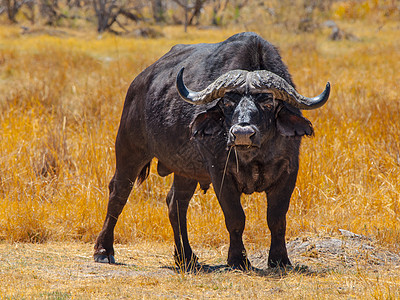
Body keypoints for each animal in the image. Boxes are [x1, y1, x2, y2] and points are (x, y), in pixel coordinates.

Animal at [94, 32, 332, 270]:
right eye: (227, 102)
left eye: (267, 101)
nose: (242, 133)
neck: (252, 156)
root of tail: (138, 84)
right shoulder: (220, 173)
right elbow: (235, 217)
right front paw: (238, 259)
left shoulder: (288, 172)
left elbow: (277, 219)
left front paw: (280, 259)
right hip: (129, 149)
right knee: (118, 194)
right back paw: (104, 251)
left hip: (185, 171)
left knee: (175, 204)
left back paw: (186, 257)